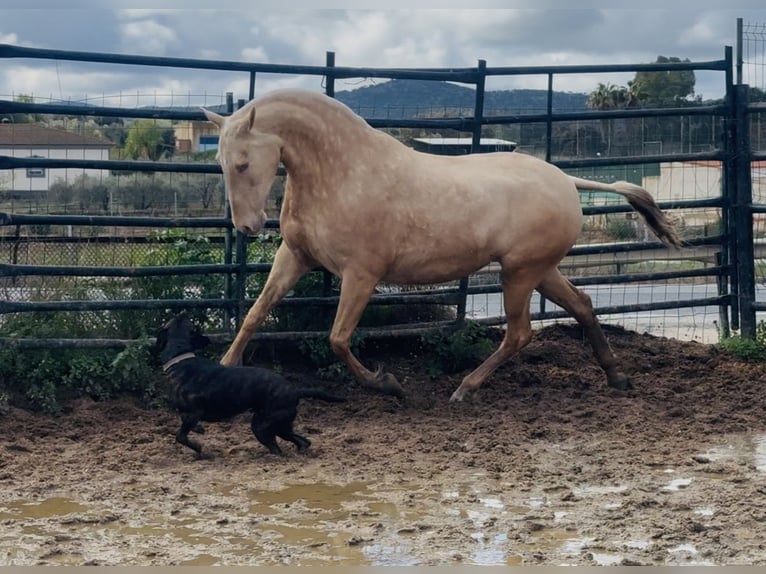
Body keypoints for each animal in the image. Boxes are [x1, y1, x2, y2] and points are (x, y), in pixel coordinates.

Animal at [154, 316, 346, 460]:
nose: (184, 312)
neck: (180, 357)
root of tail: (294, 391)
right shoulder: (188, 413)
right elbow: (184, 421)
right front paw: (199, 430)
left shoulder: (194, 412)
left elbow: (180, 436)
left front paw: (198, 447)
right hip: (282, 426)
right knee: (302, 441)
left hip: (262, 425)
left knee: (277, 448)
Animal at [204, 91, 684, 404]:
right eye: (220, 163)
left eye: (242, 163)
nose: (247, 226)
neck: (341, 172)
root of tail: (567, 180)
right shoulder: (295, 256)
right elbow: (254, 314)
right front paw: (223, 369)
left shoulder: (362, 274)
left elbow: (338, 339)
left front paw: (388, 384)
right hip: (540, 270)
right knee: (582, 303)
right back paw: (616, 376)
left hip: (519, 274)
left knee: (520, 333)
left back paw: (464, 388)